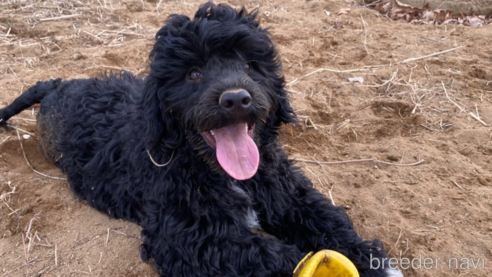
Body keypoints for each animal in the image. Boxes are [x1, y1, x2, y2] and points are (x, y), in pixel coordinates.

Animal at [0, 2, 404, 276]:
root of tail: (56, 85)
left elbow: (327, 218)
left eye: (249, 65)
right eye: (193, 73)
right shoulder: (188, 237)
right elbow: (273, 255)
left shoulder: (286, 192)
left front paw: (370, 258)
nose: (236, 98)